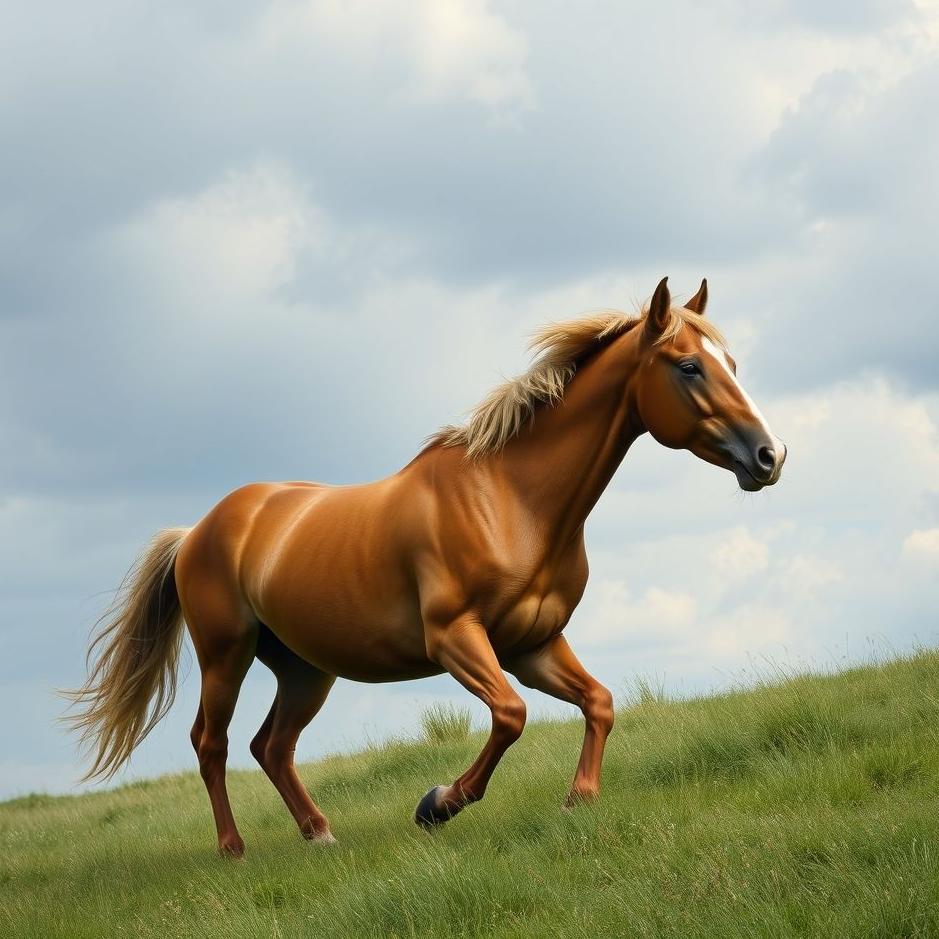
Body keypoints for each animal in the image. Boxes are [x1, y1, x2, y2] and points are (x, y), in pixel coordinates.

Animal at [65, 277, 786, 857]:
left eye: (731, 362)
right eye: (688, 366)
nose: (768, 455)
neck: (511, 500)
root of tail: (197, 531)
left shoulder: (532, 644)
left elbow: (599, 703)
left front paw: (578, 799)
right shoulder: (456, 638)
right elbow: (510, 715)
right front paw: (437, 804)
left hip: (304, 669)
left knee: (270, 745)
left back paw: (319, 833)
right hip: (226, 655)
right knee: (210, 744)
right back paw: (234, 848)